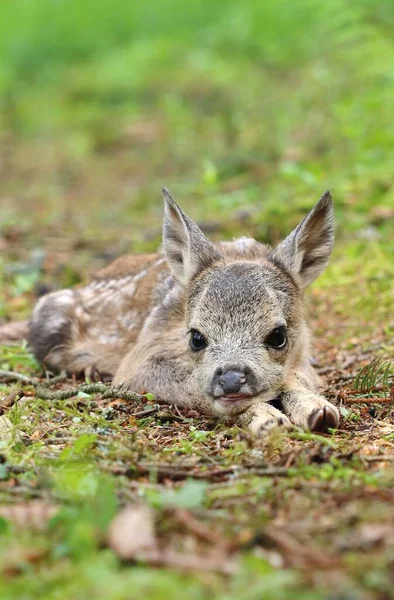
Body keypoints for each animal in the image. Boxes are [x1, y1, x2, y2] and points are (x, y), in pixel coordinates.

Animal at [30, 190, 338, 434]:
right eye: (196, 337)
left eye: (278, 336)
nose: (230, 380)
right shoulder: (139, 362)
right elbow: (198, 388)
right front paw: (268, 419)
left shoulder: (304, 353)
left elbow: (295, 378)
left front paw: (319, 410)